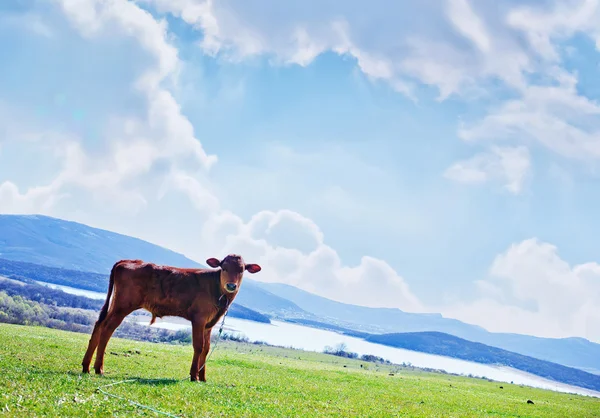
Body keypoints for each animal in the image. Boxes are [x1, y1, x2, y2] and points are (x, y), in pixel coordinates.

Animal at [81, 253, 262, 380]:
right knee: (107, 329)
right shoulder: (199, 318)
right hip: (123, 305)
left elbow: (207, 348)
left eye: (241, 270)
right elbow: (199, 346)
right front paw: (194, 376)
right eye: (223, 267)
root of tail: (128, 261)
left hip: (115, 304)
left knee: (99, 324)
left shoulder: (209, 323)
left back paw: (86, 366)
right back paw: (99, 368)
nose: (231, 285)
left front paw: (203, 377)